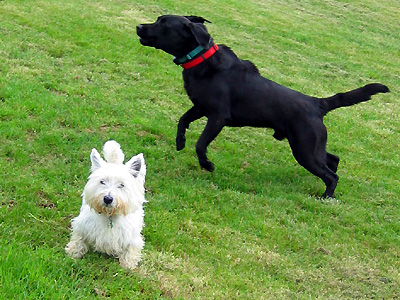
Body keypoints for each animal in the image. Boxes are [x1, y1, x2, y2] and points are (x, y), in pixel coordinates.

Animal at [65, 141, 147, 270]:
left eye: (121, 185)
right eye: (102, 181)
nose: (108, 199)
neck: (109, 215)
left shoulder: (132, 236)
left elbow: (131, 249)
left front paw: (128, 264)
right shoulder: (82, 224)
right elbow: (78, 238)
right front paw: (73, 252)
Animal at [136, 15, 390, 198]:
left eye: (163, 23)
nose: (139, 26)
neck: (202, 59)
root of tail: (317, 103)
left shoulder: (218, 117)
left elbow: (200, 144)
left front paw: (207, 165)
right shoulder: (200, 108)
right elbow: (182, 120)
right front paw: (180, 142)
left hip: (305, 149)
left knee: (331, 176)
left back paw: (326, 197)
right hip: (309, 146)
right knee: (333, 159)